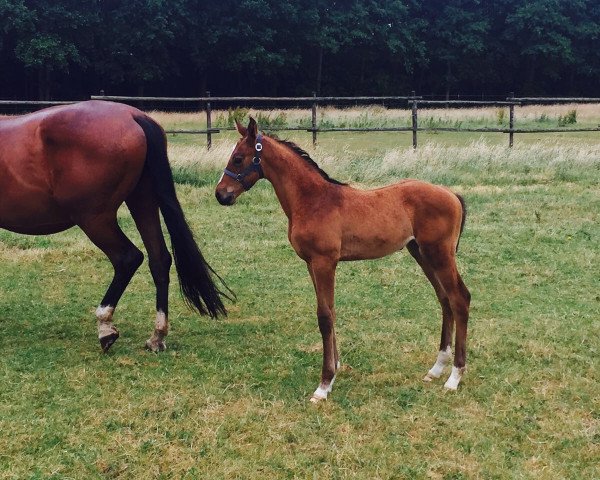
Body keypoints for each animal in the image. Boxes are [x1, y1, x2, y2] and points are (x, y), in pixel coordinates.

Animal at [0, 99, 231, 350]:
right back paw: (157, 335)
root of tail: (133, 116)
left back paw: (105, 327)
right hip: (143, 202)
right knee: (159, 259)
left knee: (127, 258)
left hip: (95, 219)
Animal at [217, 119, 474, 402]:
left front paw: (323, 385)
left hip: (440, 254)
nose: (221, 195)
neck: (313, 200)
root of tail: (452, 194)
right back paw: (436, 369)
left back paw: (454, 377)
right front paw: (335, 371)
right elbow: (329, 311)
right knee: (444, 299)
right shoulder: (311, 264)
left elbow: (324, 316)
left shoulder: (324, 262)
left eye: (238, 158)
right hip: (421, 253)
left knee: (460, 298)